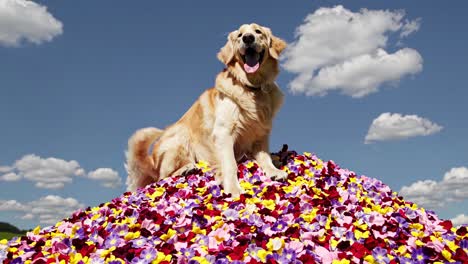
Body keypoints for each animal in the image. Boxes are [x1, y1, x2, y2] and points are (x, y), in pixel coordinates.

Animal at [128, 23, 288, 196]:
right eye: (239, 35)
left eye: (258, 31)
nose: (248, 38)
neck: (251, 88)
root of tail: (152, 162)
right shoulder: (224, 132)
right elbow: (230, 164)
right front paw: (234, 189)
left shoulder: (260, 134)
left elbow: (265, 157)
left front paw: (274, 171)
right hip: (179, 138)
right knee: (161, 177)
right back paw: (186, 168)